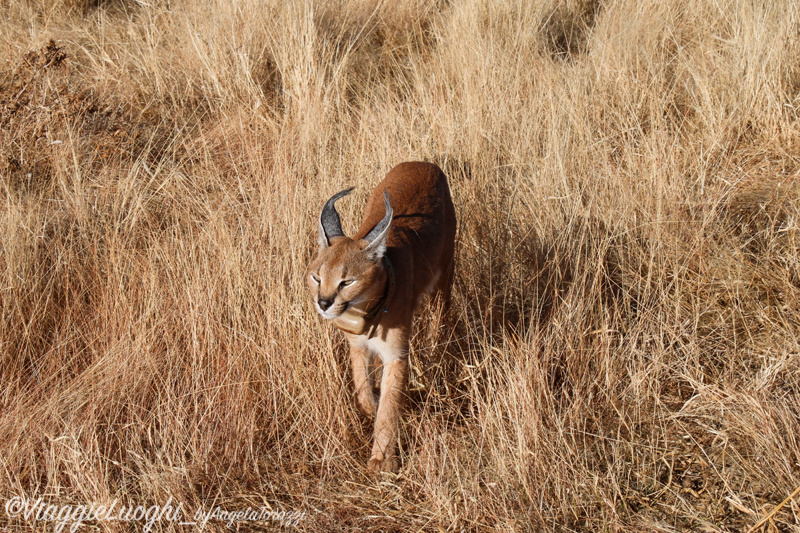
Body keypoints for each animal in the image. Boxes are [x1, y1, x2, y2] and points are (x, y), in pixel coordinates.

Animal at [306, 161, 456, 470]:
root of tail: (422, 163)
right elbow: (362, 388)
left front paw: (383, 459)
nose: (323, 303)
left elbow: (389, 403)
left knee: (442, 317)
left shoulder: (396, 355)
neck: (366, 311)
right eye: (316, 277)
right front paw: (370, 406)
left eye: (347, 282)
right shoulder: (358, 346)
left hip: (445, 278)